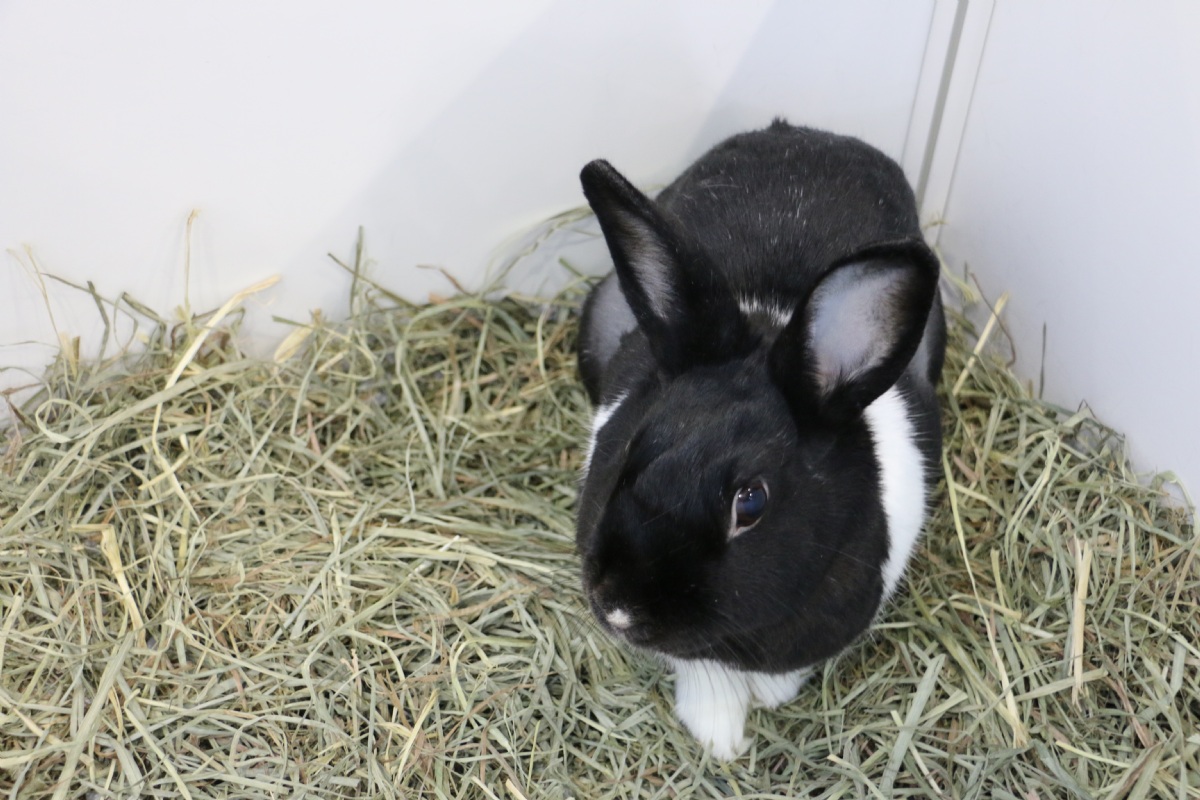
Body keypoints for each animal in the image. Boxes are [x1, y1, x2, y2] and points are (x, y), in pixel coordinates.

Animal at [574, 119, 945, 760]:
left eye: (750, 503)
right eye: (629, 453)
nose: (619, 610)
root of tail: (804, 132)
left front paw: (767, 700)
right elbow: (700, 671)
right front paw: (718, 733)